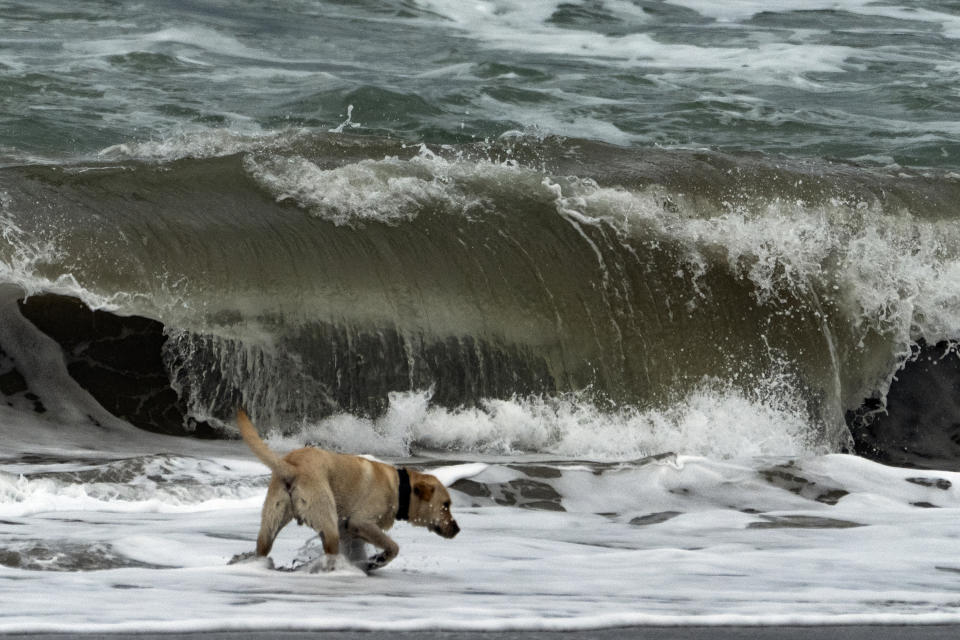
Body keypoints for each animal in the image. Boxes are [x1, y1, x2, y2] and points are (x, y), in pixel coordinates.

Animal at [232, 412, 458, 572]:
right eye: (445, 505)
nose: (457, 529)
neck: (399, 488)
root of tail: (293, 468)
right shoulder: (361, 522)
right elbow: (393, 547)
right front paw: (378, 560)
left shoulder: (350, 532)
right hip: (326, 520)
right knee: (331, 551)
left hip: (272, 521)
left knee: (263, 547)